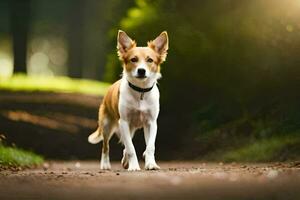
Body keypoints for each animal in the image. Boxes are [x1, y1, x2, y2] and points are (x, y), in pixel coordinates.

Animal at [89, 30, 169, 171]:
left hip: (130, 128)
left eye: (150, 60)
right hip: (107, 125)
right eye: (133, 59)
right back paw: (105, 164)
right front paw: (134, 166)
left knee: (126, 144)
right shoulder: (124, 122)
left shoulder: (151, 123)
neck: (140, 92)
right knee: (106, 146)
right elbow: (131, 148)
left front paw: (151, 163)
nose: (141, 70)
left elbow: (150, 146)